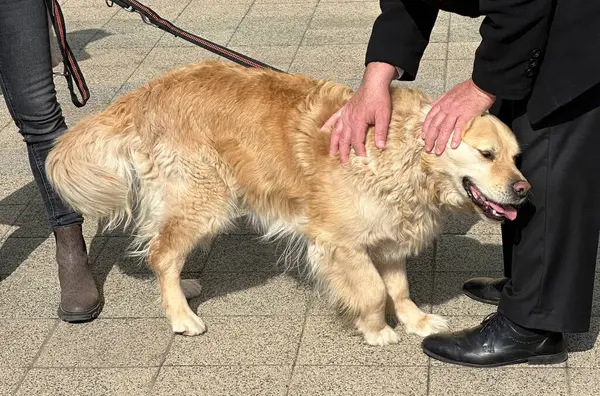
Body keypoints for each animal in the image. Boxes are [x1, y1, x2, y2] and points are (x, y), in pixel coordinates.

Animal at [45, 60, 528, 344]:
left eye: (516, 157)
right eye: (487, 154)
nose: (524, 190)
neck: (400, 153)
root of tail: (146, 93)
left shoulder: (389, 232)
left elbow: (398, 286)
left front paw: (417, 321)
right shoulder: (338, 242)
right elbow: (372, 290)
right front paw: (377, 330)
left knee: (162, 251)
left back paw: (183, 290)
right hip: (205, 199)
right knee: (163, 253)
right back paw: (182, 317)